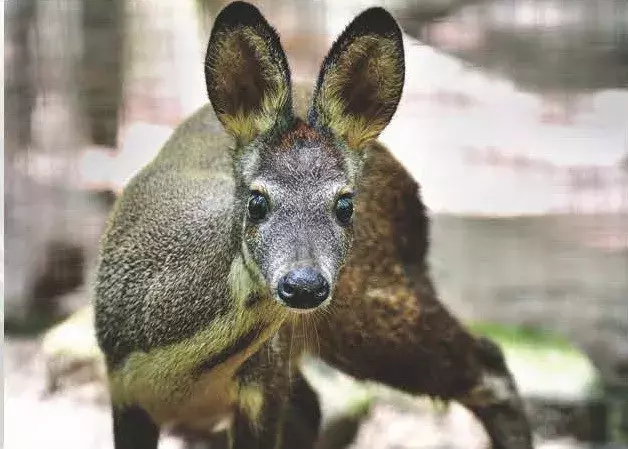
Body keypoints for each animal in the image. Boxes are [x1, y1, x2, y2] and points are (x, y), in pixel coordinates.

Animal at [88, 1, 532, 446]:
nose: (303, 284)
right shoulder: (124, 392)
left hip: (372, 305)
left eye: (345, 204)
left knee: (489, 365)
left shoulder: (264, 389)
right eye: (257, 201)